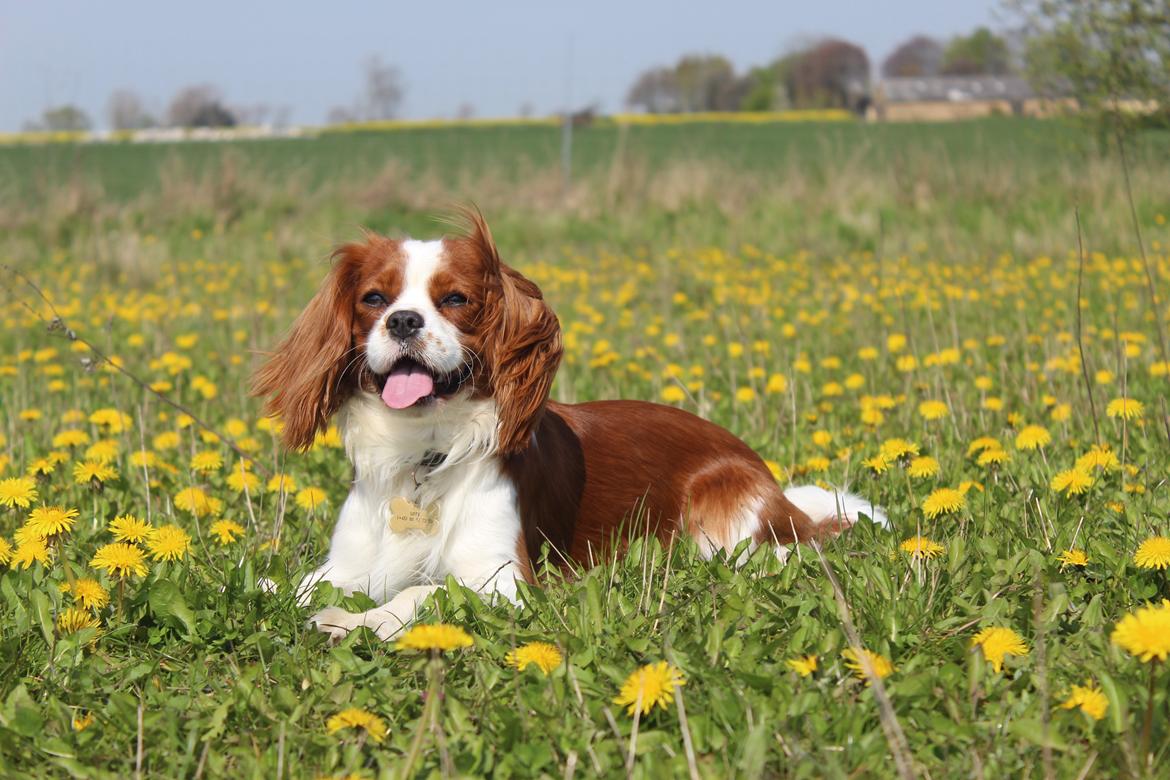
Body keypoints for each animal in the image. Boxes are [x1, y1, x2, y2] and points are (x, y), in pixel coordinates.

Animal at [251, 214, 879, 640]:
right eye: (374, 298)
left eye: (454, 299)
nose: (403, 321)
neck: (424, 456)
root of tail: (775, 489)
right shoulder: (350, 562)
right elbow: (297, 582)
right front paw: (270, 590)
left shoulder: (505, 583)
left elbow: (423, 591)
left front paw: (353, 619)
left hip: (727, 525)